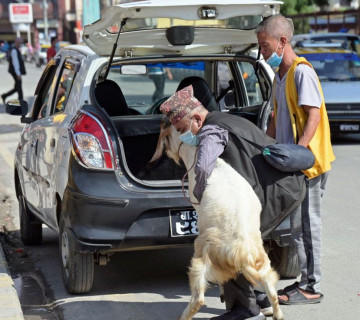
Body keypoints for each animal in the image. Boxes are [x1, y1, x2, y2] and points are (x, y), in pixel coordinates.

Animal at [150, 124, 284, 320]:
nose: (167, 154)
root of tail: (244, 254)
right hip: (262, 260)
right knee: (272, 291)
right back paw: (277, 314)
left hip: (202, 253)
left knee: (198, 297)